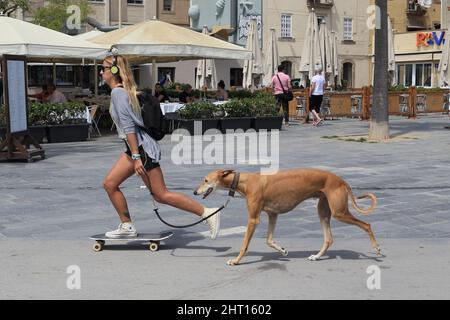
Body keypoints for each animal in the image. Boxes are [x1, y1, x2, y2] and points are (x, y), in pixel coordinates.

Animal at [193, 169, 380, 266]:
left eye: (206, 180)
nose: (194, 192)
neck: (245, 181)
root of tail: (341, 180)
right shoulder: (273, 214)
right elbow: (269, 240)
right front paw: (283, 250)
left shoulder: (254, 219)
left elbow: (244, 245)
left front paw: (236, 260)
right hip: (323, 211)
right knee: (329, 239)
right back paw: (316, 256)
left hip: (339, 212)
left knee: (367, 224)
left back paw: (376, 248)